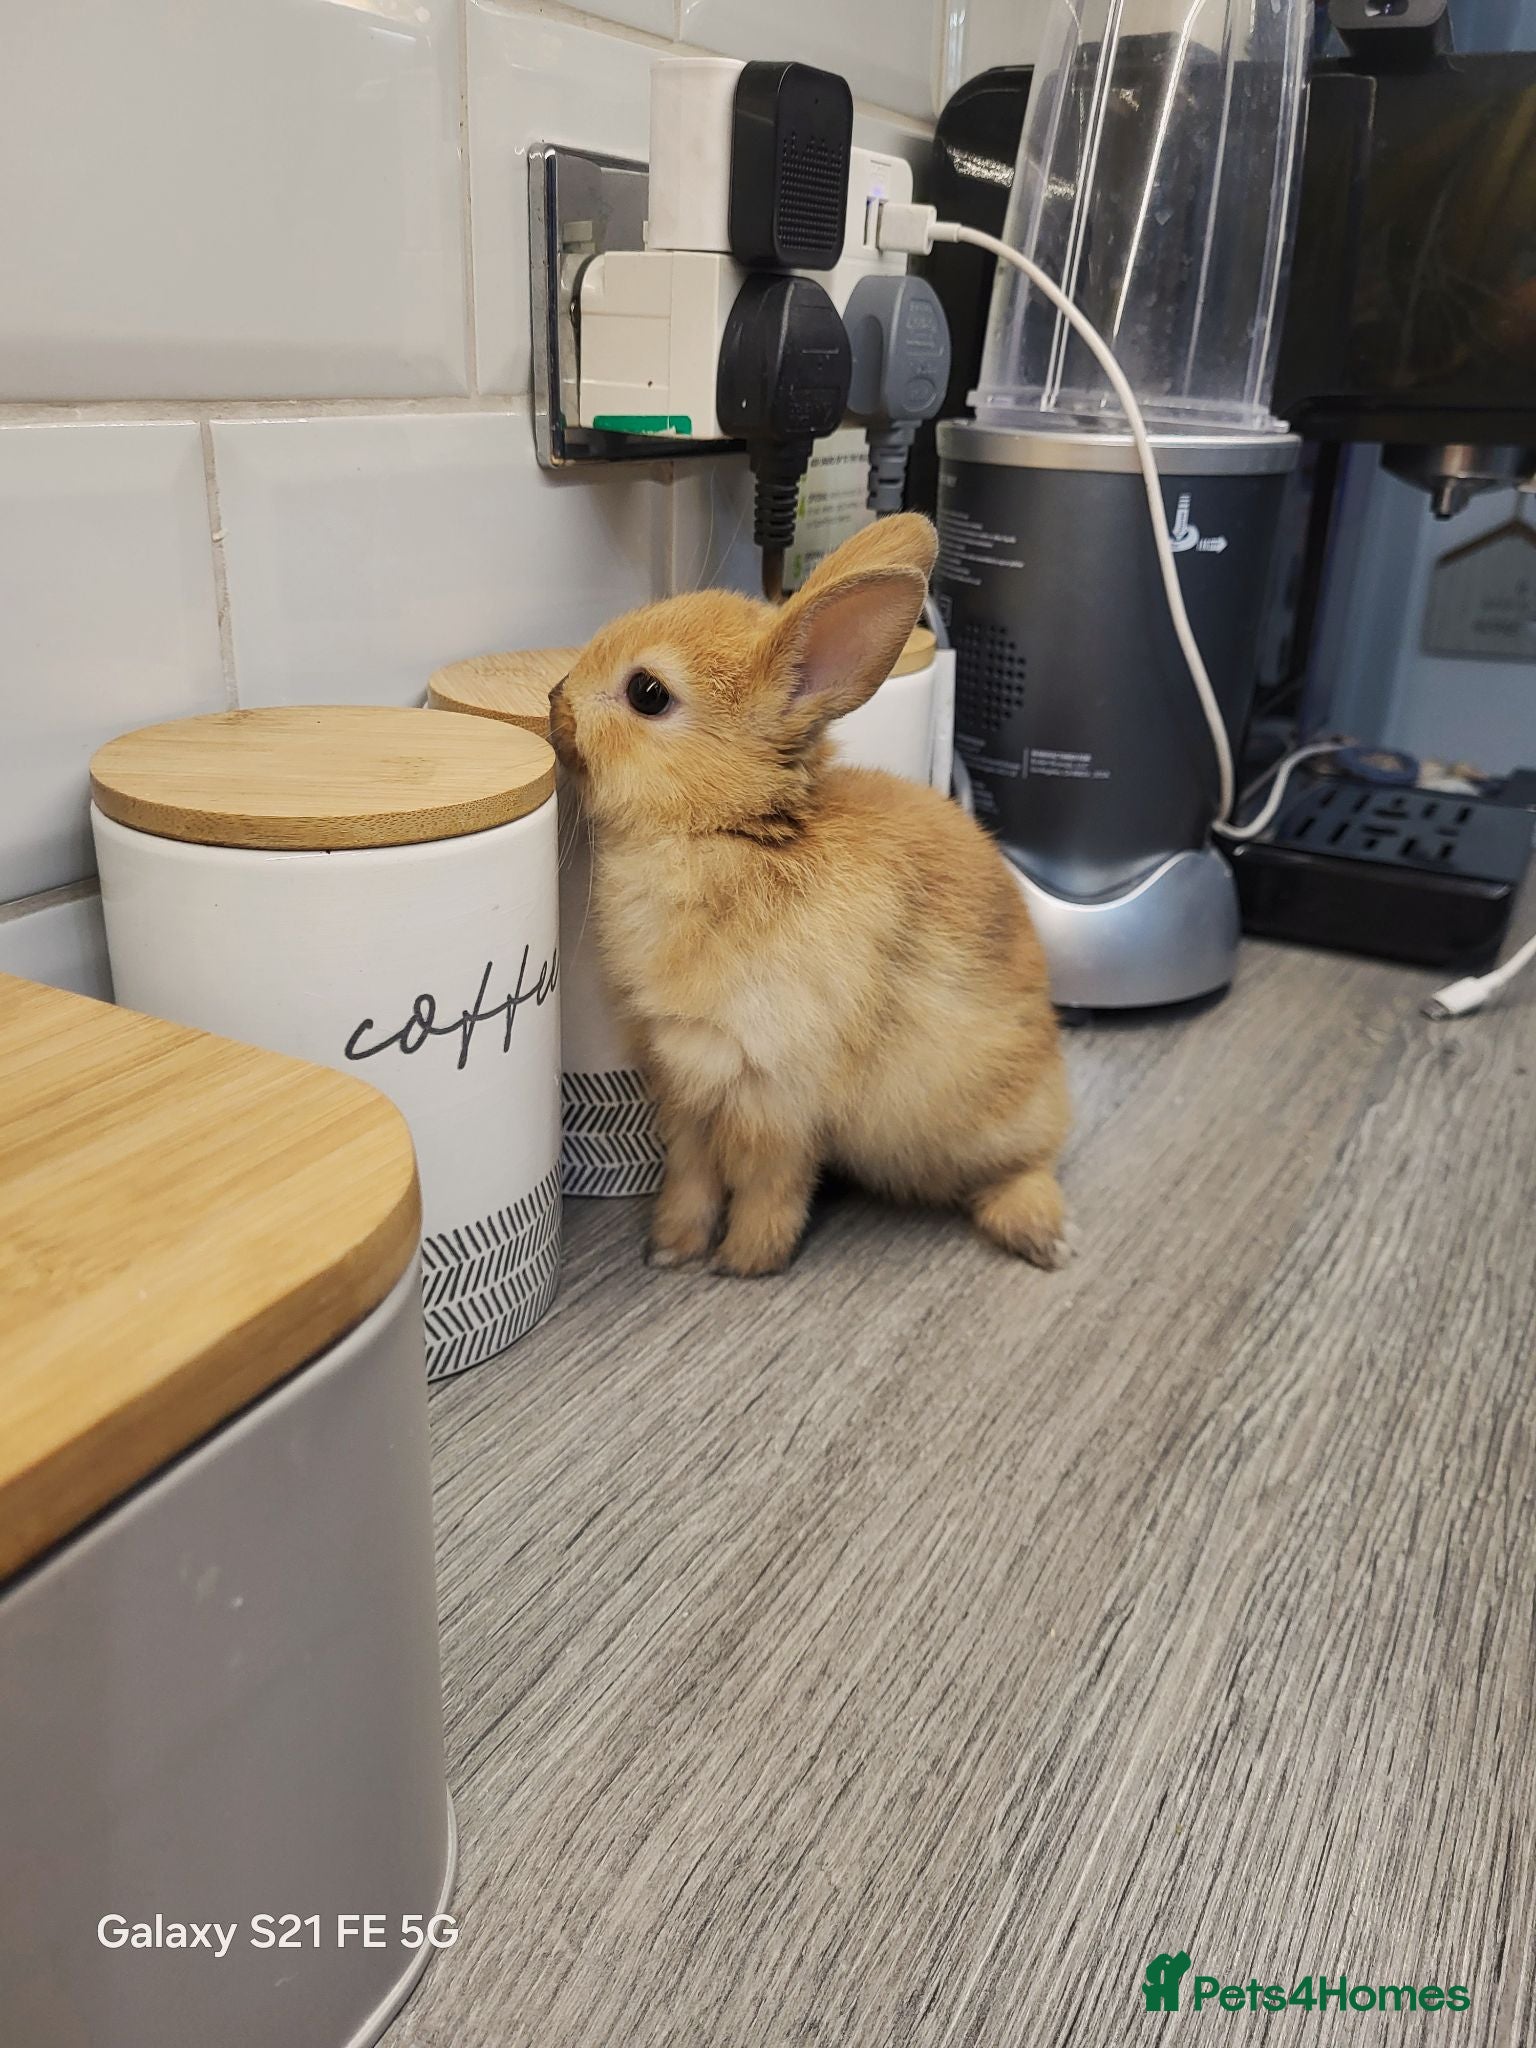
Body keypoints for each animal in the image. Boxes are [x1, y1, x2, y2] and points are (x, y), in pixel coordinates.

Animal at [548, 513, 1071, 1278]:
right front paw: (670, 1249)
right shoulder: (686, 1081)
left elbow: (771, 1183)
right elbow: (692, 1176)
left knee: (1027, 1163)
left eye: (648, 693)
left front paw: (744, 1262)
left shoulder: (777, 1090)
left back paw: (1042, 1236)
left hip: (993, 1114)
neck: (730, 832)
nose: (553, 699)